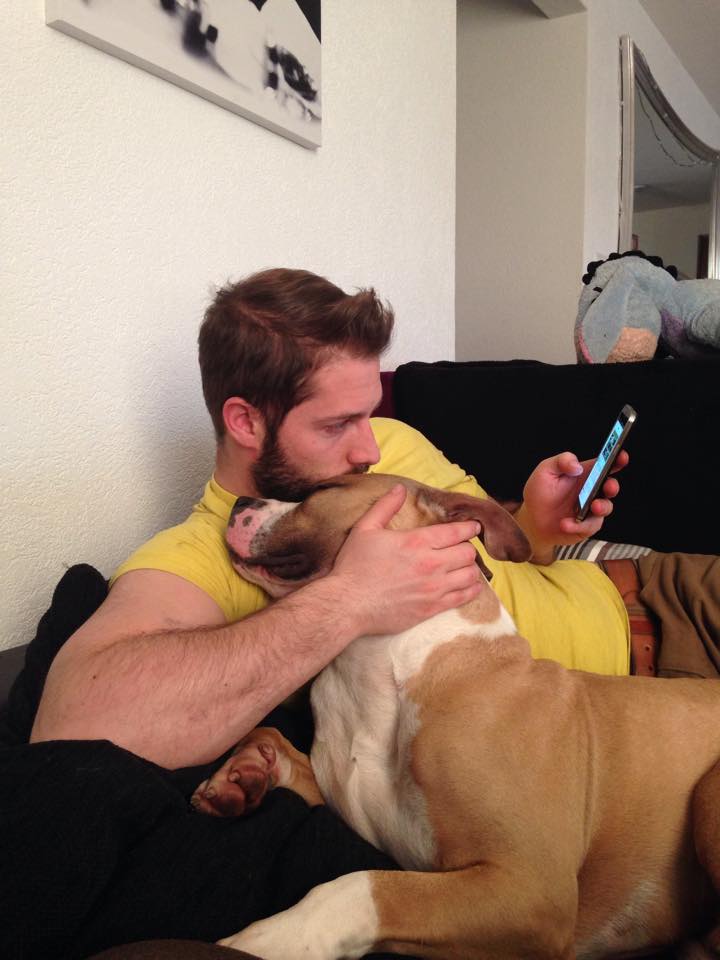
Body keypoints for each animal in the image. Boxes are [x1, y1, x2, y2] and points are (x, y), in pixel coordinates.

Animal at [192, 473, 720, 959]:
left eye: (323, 489)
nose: (240, 501)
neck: (384, 665)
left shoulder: (528, 889)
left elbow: (363, 886)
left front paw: (272, 938)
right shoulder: (346, 803)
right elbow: (269, 734)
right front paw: (242, 776)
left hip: (707, 797)